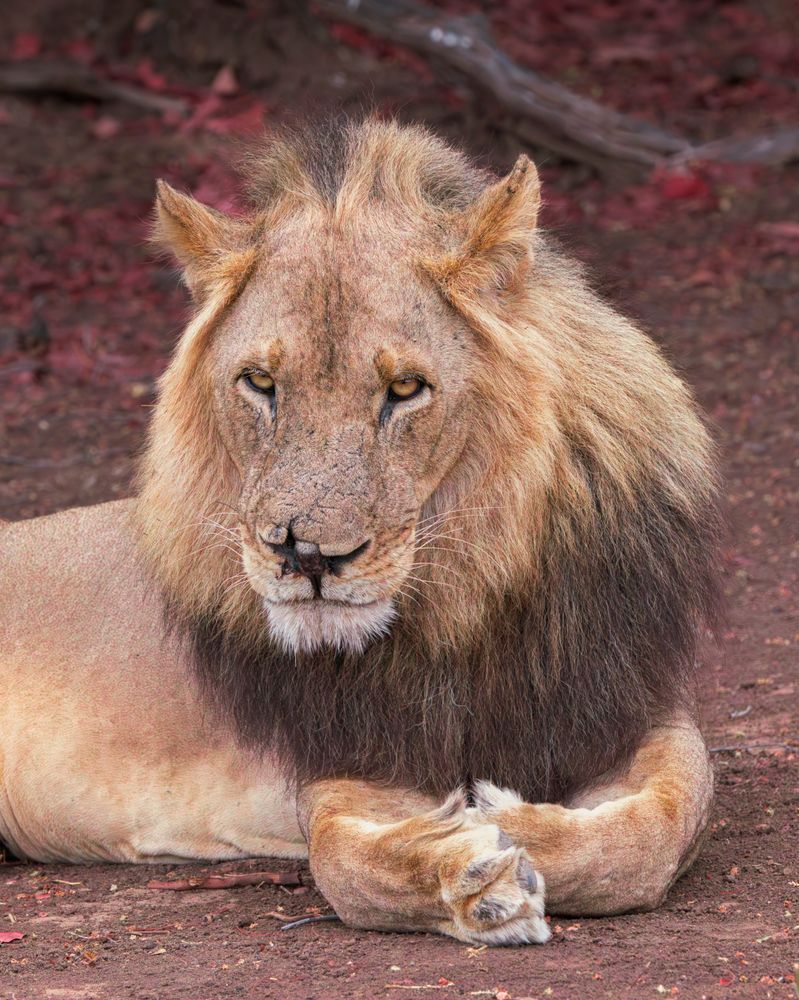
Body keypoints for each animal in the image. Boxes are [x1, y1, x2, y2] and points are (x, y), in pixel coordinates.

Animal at [0, 119, 720, 946]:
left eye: (404, 389)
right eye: (260, 383)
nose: (305, 554)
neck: (468, 600)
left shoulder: (628, 701)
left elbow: (656, 826)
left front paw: (509, 817)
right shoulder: (347, 759)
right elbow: (347, 863)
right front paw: (470, 873)